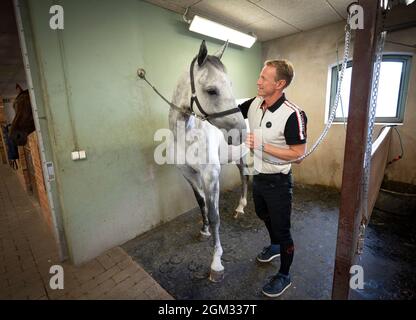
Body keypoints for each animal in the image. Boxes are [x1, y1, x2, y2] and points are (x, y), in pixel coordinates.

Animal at [167, 40, 249, 282]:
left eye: (230, 84)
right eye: (212, 90)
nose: (240, 133)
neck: (187, 135)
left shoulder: (211, 175)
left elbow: (215, 216)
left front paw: (216, 262)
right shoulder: (189, 174)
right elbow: (200, 202)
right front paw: (203, 231)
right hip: (239, 156)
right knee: (244, 177)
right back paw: (240, 207)